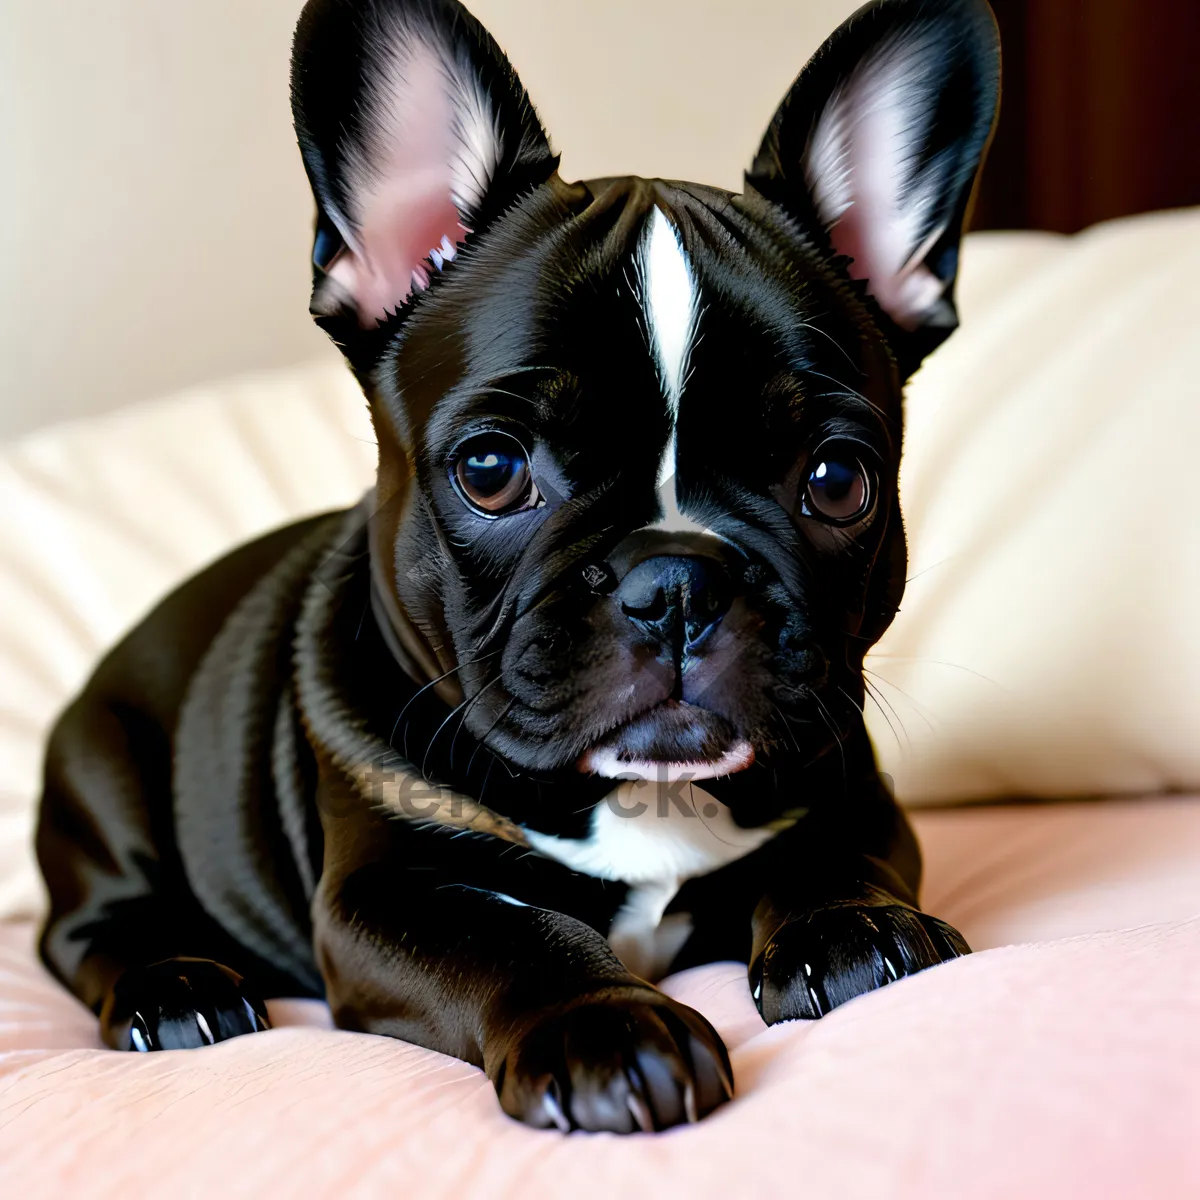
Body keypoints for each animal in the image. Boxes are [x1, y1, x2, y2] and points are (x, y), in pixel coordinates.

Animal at [35, 0, 993, 1128]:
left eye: (838, 481)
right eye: (491, 470)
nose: (676, 583)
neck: (645, 800)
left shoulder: (848, 789)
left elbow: (832, 851)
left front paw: (853, 925)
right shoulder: (385, 903)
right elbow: (511, 934)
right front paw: (605, 1026)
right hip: (104, 775)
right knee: (89, 926)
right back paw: (174, 987)